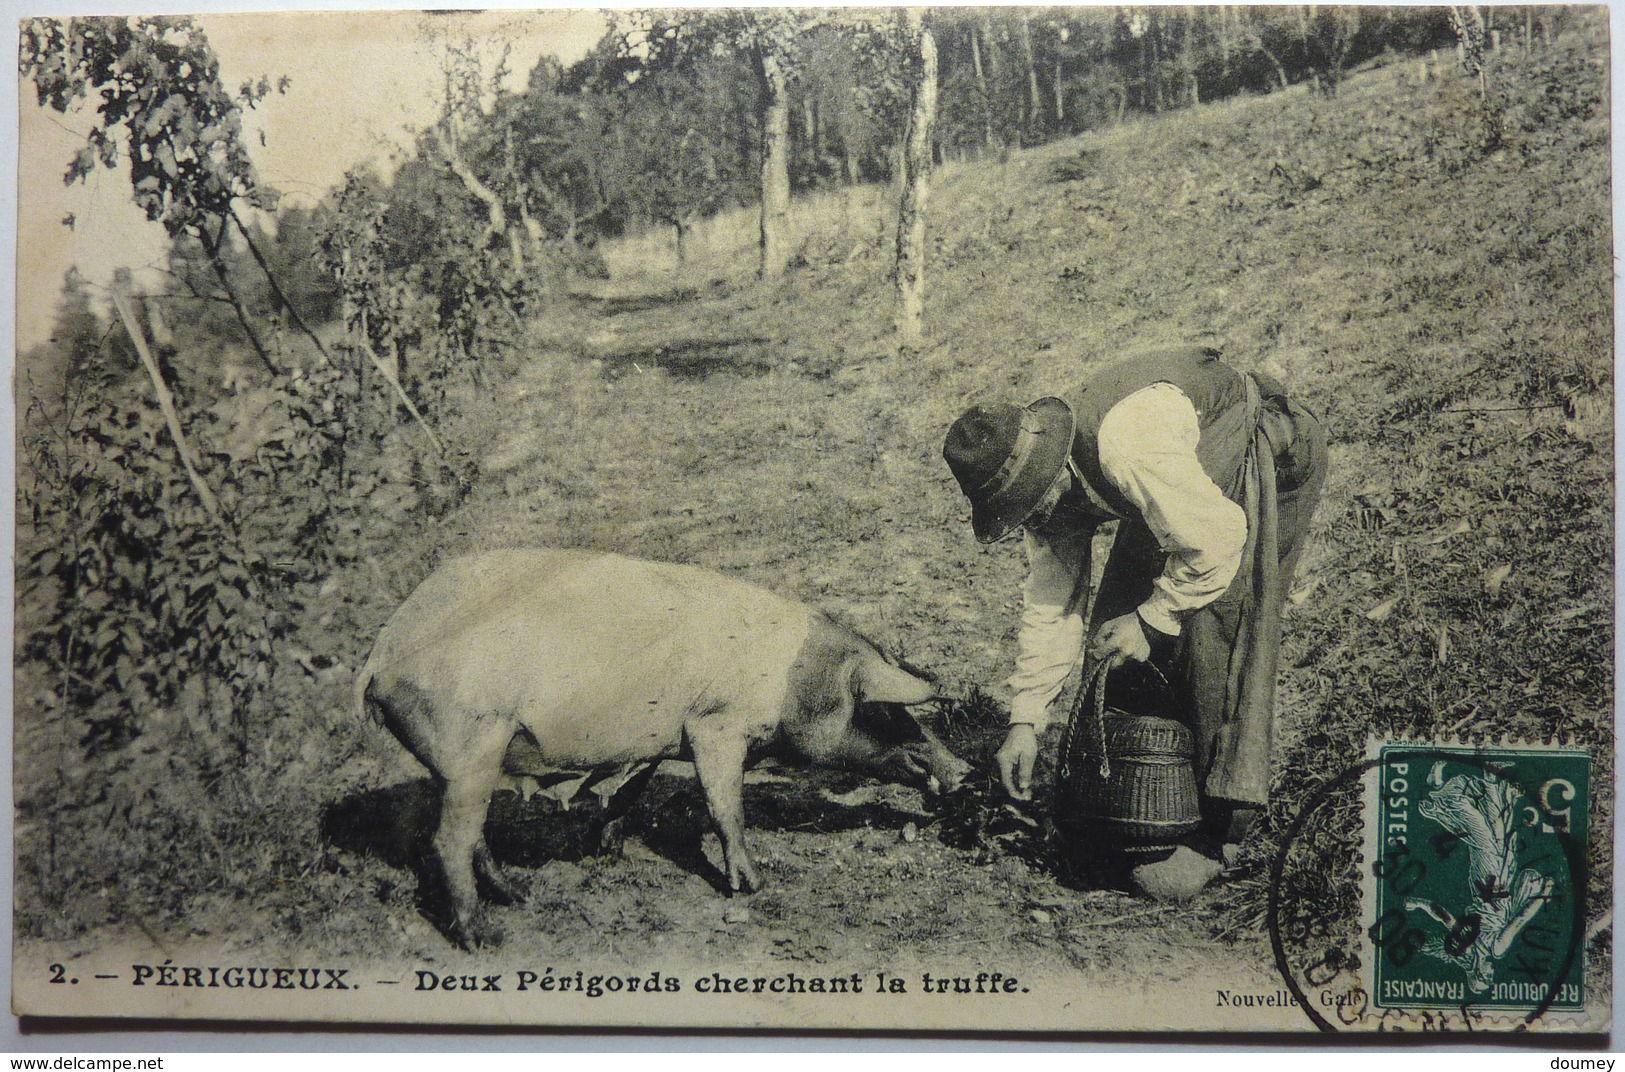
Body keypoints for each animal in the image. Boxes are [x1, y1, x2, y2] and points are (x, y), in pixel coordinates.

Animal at [355, 548, 962, 942]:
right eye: (884, 708)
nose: (964, 770)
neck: (792, 681)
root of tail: (383, 652)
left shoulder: (662, 738)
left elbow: (629, 791)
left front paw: (609, 848)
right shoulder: (714, 724)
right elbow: (725, 806)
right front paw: (753, 887)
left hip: (463, 764)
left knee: (472, 835)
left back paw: (518, 897)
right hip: (470, 744)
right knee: (448, 842)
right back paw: (486, 937)